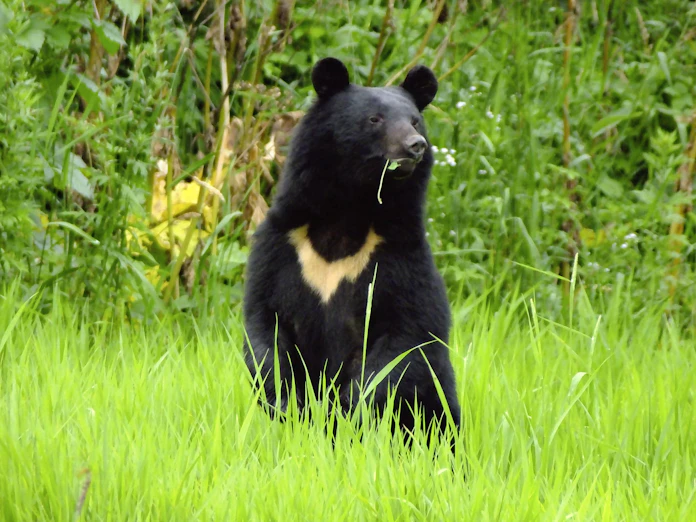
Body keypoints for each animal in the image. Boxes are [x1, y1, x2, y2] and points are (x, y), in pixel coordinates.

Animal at [243, 57, 461, 441]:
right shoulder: (280, 245)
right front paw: (286, 401)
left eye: (415, 121)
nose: (416, 145)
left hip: (437, 408)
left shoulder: (400, 254)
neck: (349, 211)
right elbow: (264, 320)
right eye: (375, 119)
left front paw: (347, 407)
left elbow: (407, 336)